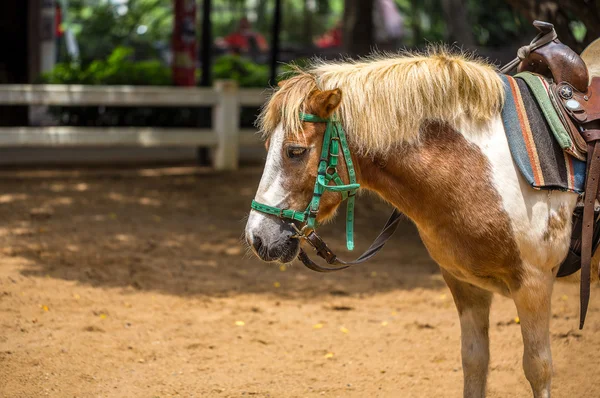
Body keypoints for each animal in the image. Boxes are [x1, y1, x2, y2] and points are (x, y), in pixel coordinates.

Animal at [245, 49, 580, 398]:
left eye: (295, 151)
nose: (257, 237)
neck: (484, 167)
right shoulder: (465, 284)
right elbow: (474, 361)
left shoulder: (534, 283)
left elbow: (538, 369)